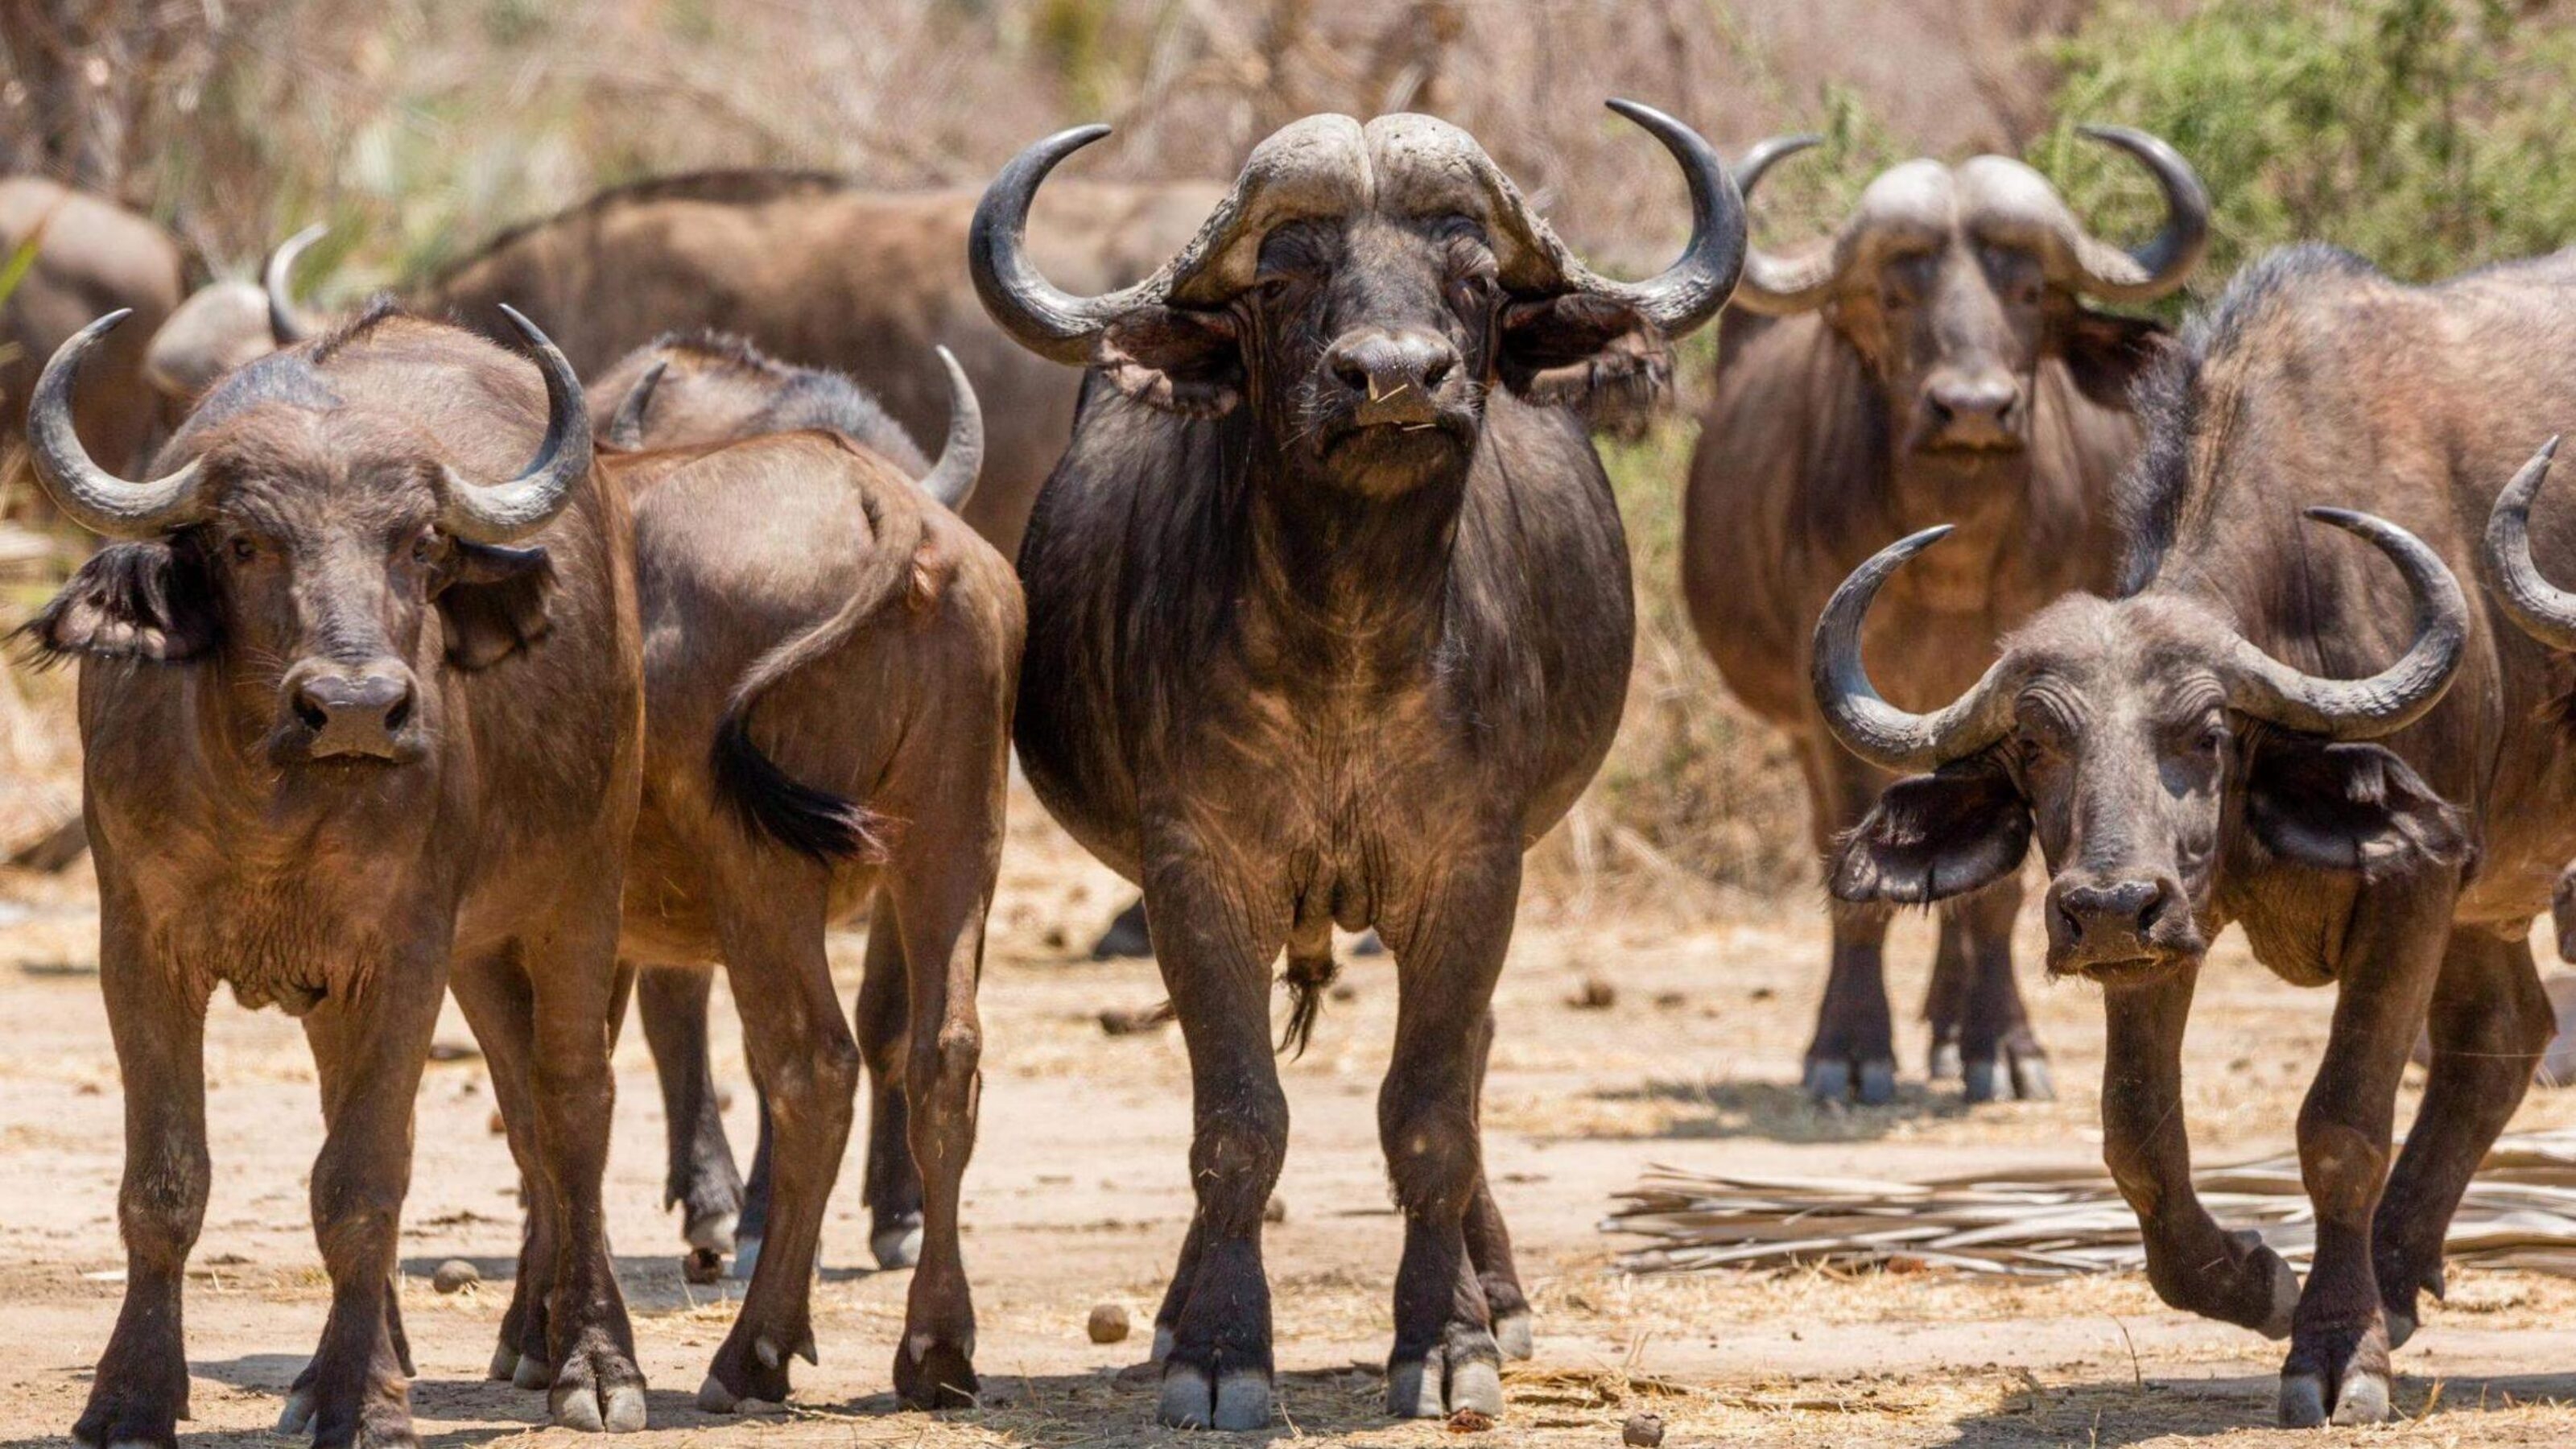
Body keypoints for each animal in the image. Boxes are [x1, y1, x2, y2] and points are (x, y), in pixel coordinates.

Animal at [26, 304, 649, 1442]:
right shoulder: (135, 945)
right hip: (464, 955)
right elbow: (165, 1183)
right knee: (500, 1100)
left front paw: (368, 1406)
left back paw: (590, 1362)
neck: (271, 805)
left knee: (573, 1103)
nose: (357, 707)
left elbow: (363, 1185)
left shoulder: (403, 952)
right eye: (243, 542)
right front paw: (134, 1395)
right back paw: (357, 1368)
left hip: (580, 885)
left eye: (423, 542)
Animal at [583, 331, 1018, 1410]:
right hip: (956, 842)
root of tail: (890, 515)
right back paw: (936, 1349)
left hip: (762, 872)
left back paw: (756, 1347)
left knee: (813, 1063)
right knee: (944, 1054)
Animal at [973, 102, 1743, 1426]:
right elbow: (1238, 1120)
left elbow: (1429, 1116)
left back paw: (1499, 1293)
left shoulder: (1475, 870)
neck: (1349, 645)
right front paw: (1218, 1349)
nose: (1394, 377)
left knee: (1470, 1070)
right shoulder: (1197, 873)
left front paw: (1446, 1340)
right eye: (1283, 277)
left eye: (1474, 276)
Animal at [1684, 128, 2207, 1103]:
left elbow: (1995, 891)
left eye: (2029, 292)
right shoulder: (1831, 716)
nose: (1973, 408)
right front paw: (1849, 1050)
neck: (1952, 568)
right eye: (1896, 296)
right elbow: (1858, 877)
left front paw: (2002, 1046)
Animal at [1812, 244, 2576, 1426]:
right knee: (2503, 1033)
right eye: (2034, 747)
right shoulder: (2162, 939)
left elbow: (2341, 1125)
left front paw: (2335, 1352)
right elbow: (2137, 1139)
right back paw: (2395, 1277)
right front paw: (2257, 1281)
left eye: (2205, 733)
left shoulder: (2414, 879)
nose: (2104, 907)